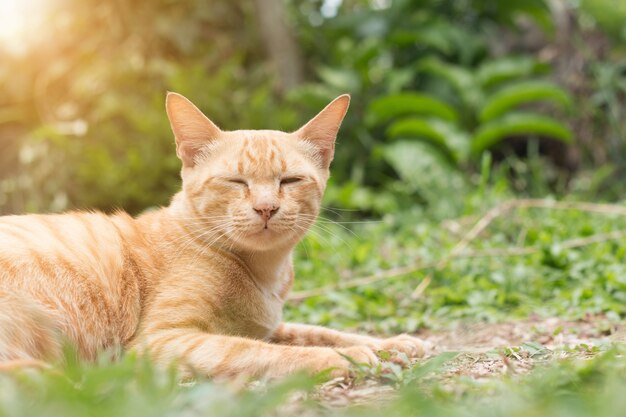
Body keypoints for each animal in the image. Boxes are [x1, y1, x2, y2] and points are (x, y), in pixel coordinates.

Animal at [0, 93, 424, 376]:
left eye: (290, 180)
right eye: (236, 181)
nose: (266, 208)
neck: (263, 273)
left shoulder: (271, 327)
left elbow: (323, 332)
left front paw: (390, 344)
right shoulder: (161, 341)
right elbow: (255, 351)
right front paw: (346, 359)